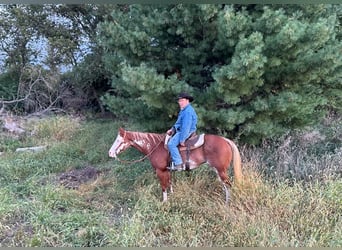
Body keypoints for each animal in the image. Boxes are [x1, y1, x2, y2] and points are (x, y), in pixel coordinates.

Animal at [108, 128, 242, 202]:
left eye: (119, 140)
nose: (110, 153)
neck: (155, 146)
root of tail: (226, 140)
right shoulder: (167, 170)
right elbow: (169, 183)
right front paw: (172, 196)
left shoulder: (160, 171)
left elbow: (163, 186)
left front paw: (164, 202)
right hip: (218, 170)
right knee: (225, 186)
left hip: (221, 170)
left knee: (228, 186)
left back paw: (227, 203)